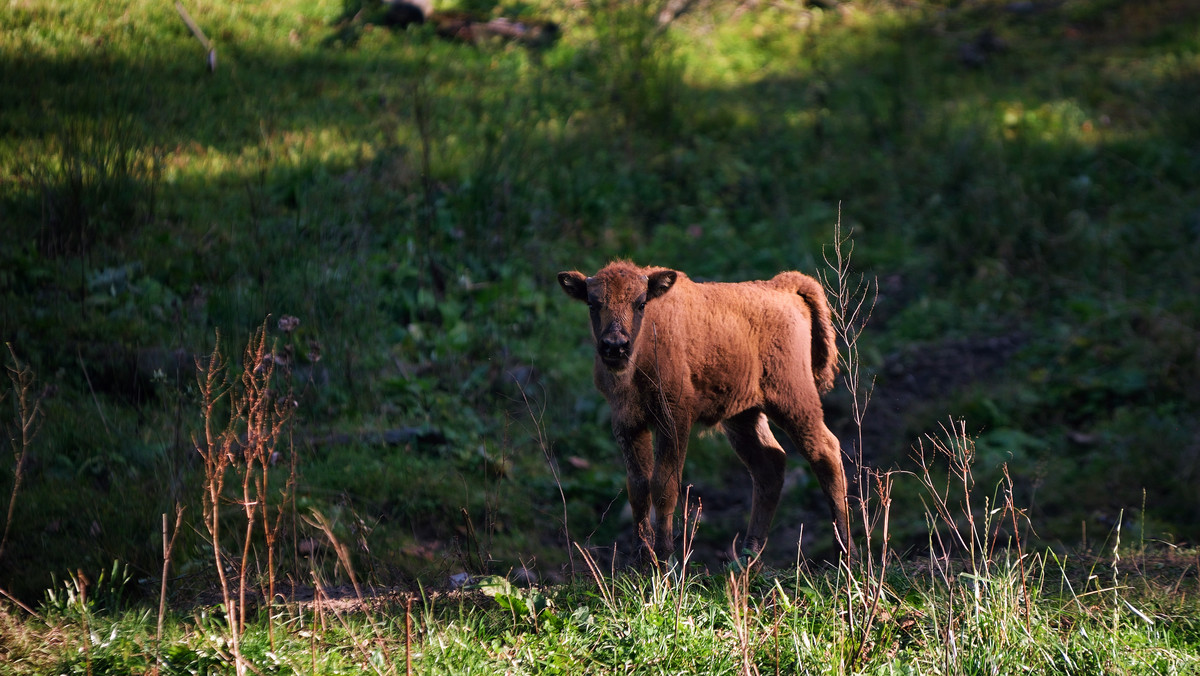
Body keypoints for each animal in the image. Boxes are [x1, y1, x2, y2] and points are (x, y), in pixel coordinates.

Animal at [561, 261, 854, 564]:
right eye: (593, 303)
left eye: (640, 303)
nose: (615, 346)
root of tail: (782, 287)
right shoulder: (627, 422)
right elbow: (638, 487)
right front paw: (641, 560)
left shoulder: (674, 420)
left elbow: (664, 486)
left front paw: (663, 558)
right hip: (744, 416)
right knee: (769, 467)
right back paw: (747, 559)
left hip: (794, 401)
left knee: (825, 452)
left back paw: (846, 556)